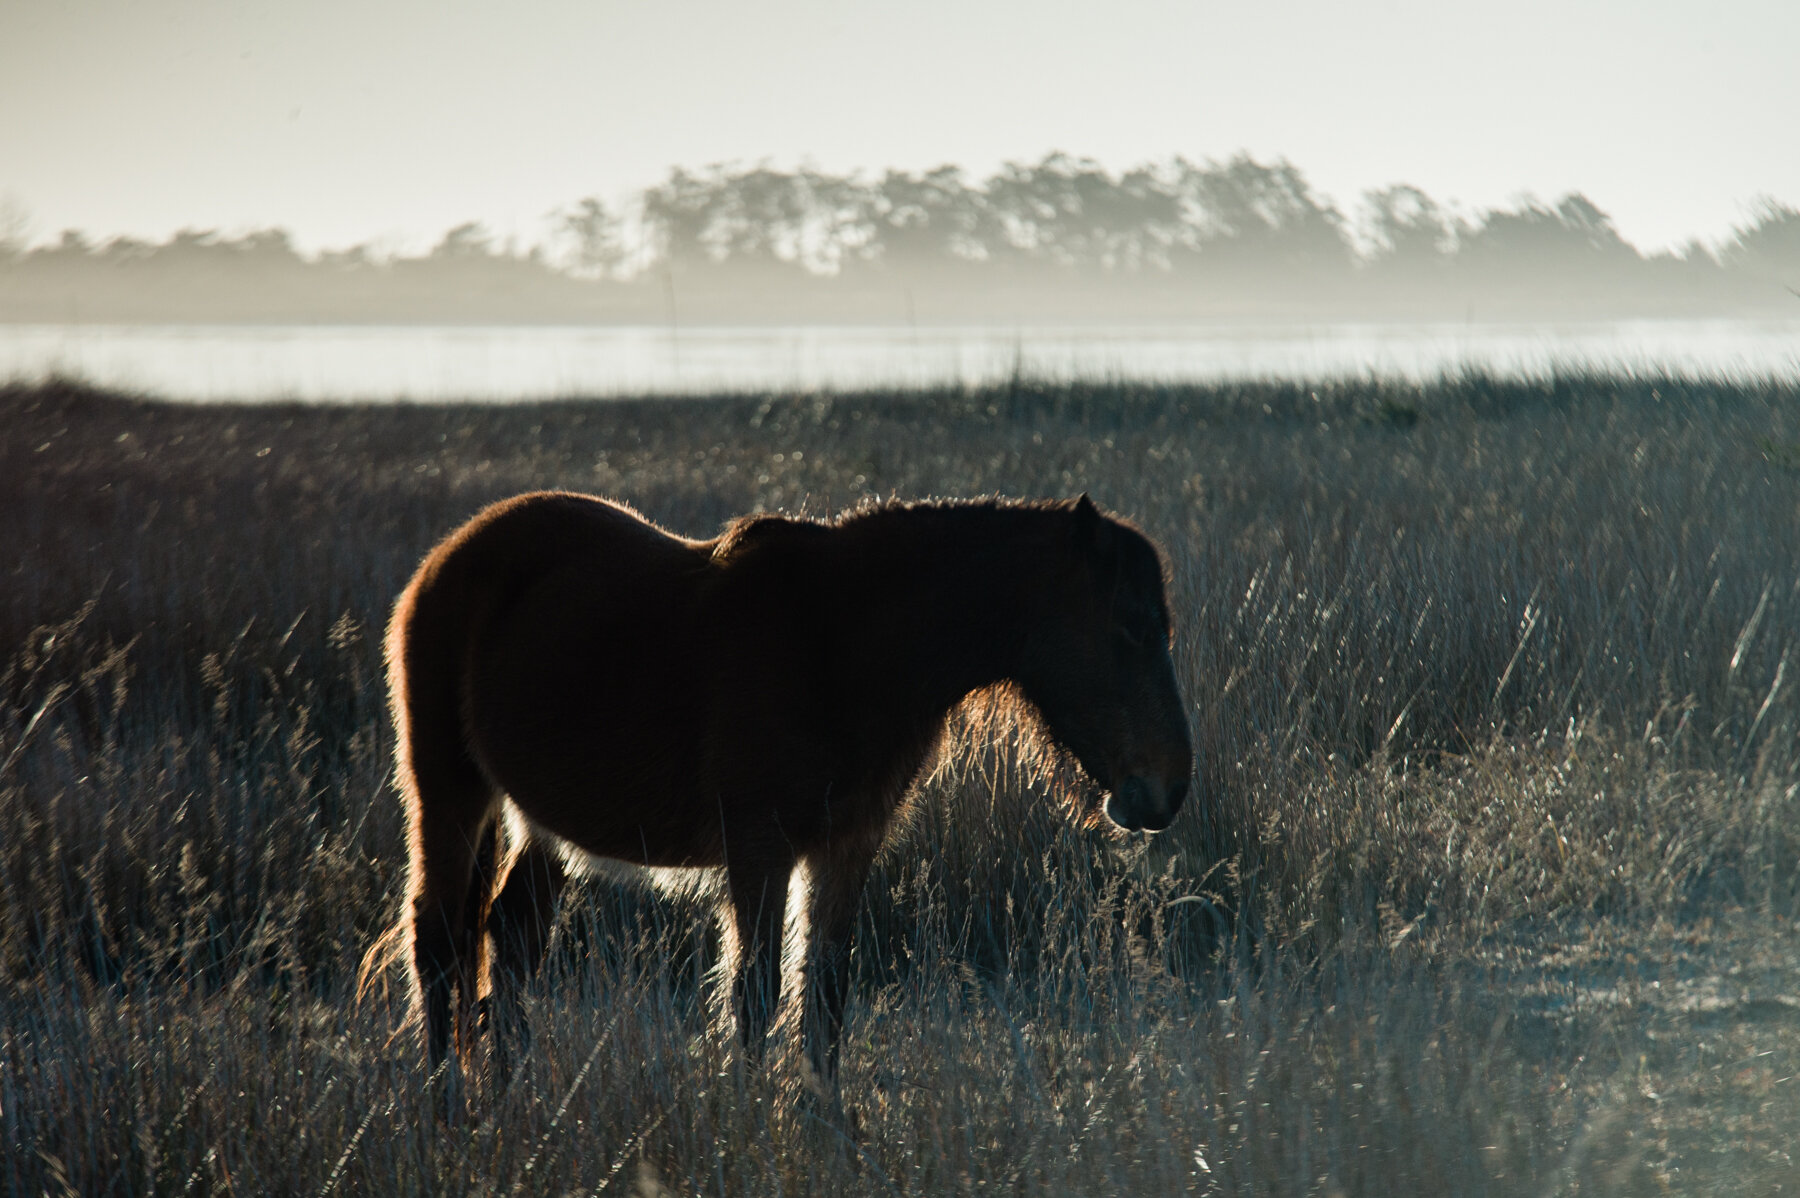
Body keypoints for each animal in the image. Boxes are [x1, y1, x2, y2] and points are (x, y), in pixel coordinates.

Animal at [358, 485, 1188, 1093]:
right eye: (1130, 626)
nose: (1168, 789)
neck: (842, 643)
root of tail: (446, 558)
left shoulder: (844, 848)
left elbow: (823, 996)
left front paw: (826, 1134)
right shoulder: (760, 849)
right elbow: (754, 995)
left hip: (545, 827)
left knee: (508, 935)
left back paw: (508, 1088)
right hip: (449, 792)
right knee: (438, 939)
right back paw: (446, 1101)